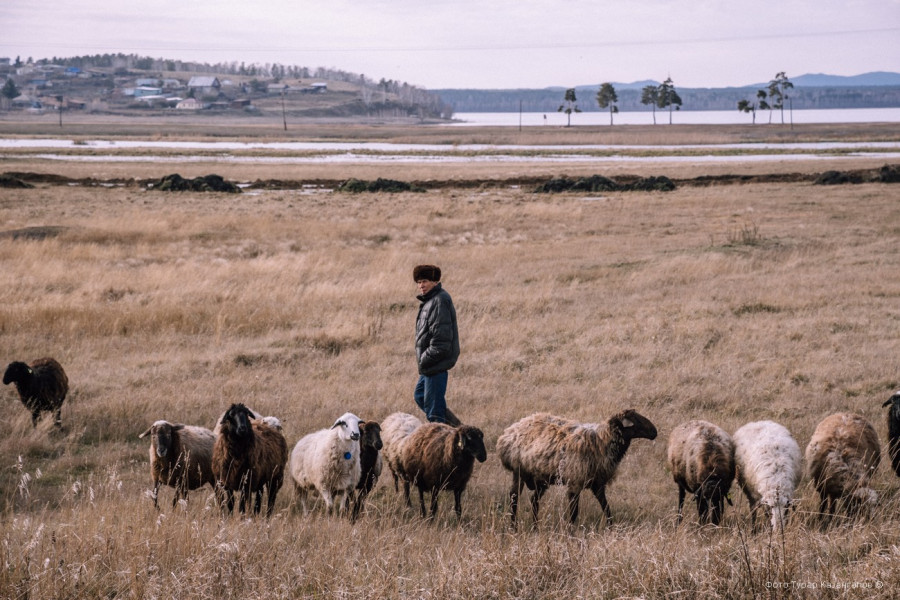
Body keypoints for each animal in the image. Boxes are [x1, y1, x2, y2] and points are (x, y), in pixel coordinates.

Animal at [496, 408, 656, 524]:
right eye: (635, 420)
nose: (655, 432)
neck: (601, 441)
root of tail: (510, 431)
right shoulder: (575, 483)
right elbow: (573, 513)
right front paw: (570, 534)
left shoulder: (597, 484)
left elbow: (606, 507)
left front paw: (611, 528)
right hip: (518, 471)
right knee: (514, 497)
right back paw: (513, 526)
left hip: (541, 478)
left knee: (534, 500)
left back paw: (535, 527)